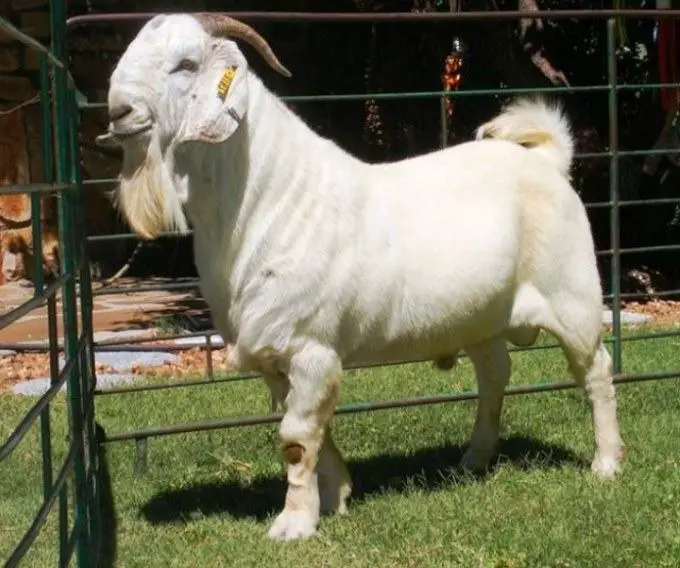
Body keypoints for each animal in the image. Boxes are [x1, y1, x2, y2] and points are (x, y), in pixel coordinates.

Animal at [101, 13, 623, 541]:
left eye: (186, 64)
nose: (119, 111)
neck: (267, 201)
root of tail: (546, 160)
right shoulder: (276, 356)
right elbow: (314, 430)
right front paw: (336, 496)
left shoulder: (309, 345)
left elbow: (295, 439)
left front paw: (294, 524)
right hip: (481, 315)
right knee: (495, 373)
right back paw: (473, 460)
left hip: (573, 295)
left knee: (595, 369)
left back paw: (606, 463)